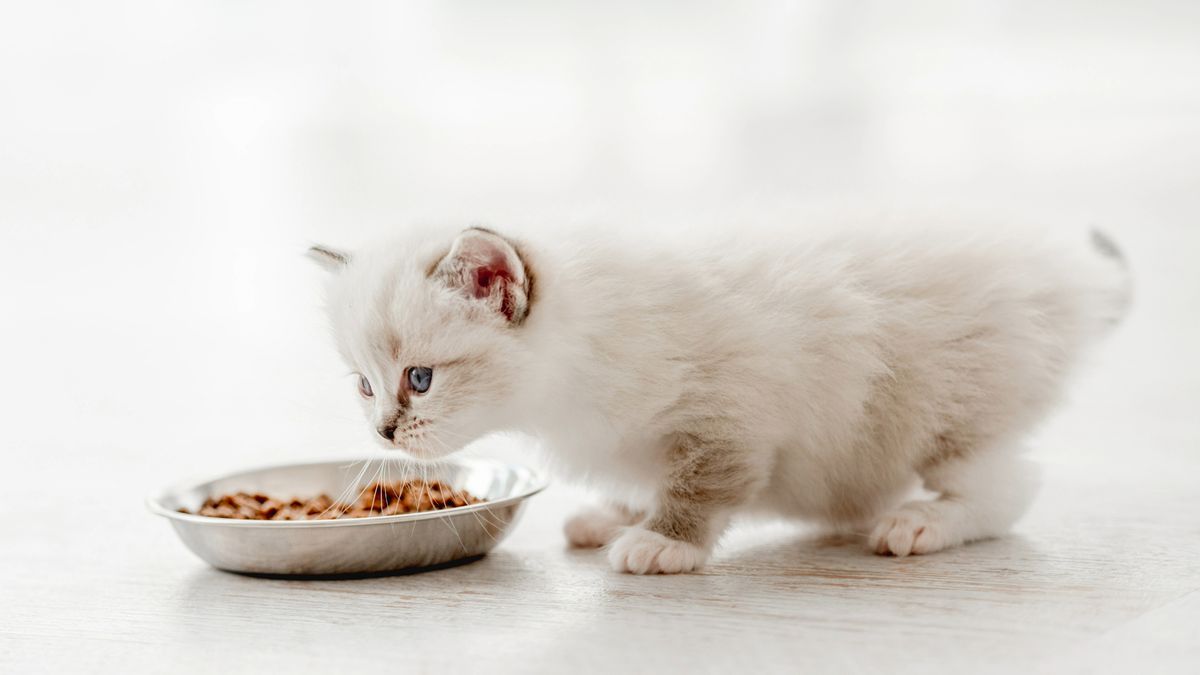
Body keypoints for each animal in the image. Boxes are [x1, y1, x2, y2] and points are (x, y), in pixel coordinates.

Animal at [307, 223, 1123, 569]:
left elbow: (701, 482)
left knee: (1010, 487)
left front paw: (663, 541)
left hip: (951, 414)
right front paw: (621, 514)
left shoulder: (733, 407)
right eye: (364, 384)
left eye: (420, 379)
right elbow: (647, 474)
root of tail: (1065, 277)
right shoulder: (638, 436)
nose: (382, 432)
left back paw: (922, 522)